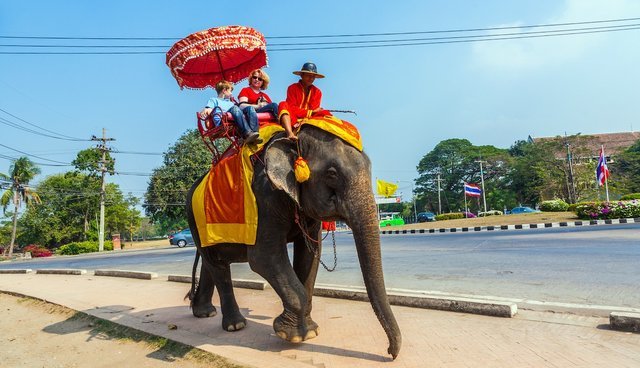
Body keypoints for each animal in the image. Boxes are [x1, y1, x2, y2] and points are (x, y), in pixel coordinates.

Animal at [185, 124, 400, 360]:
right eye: (332, 174)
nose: (390, 353)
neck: (293, 139)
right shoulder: (264, 198)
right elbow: (263, 257)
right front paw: (293, 336)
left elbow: (310, 254)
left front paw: (310, 331)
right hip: (195, 220)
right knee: (218, 266)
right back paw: (235, 325)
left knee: (211, 263)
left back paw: (204, 313)